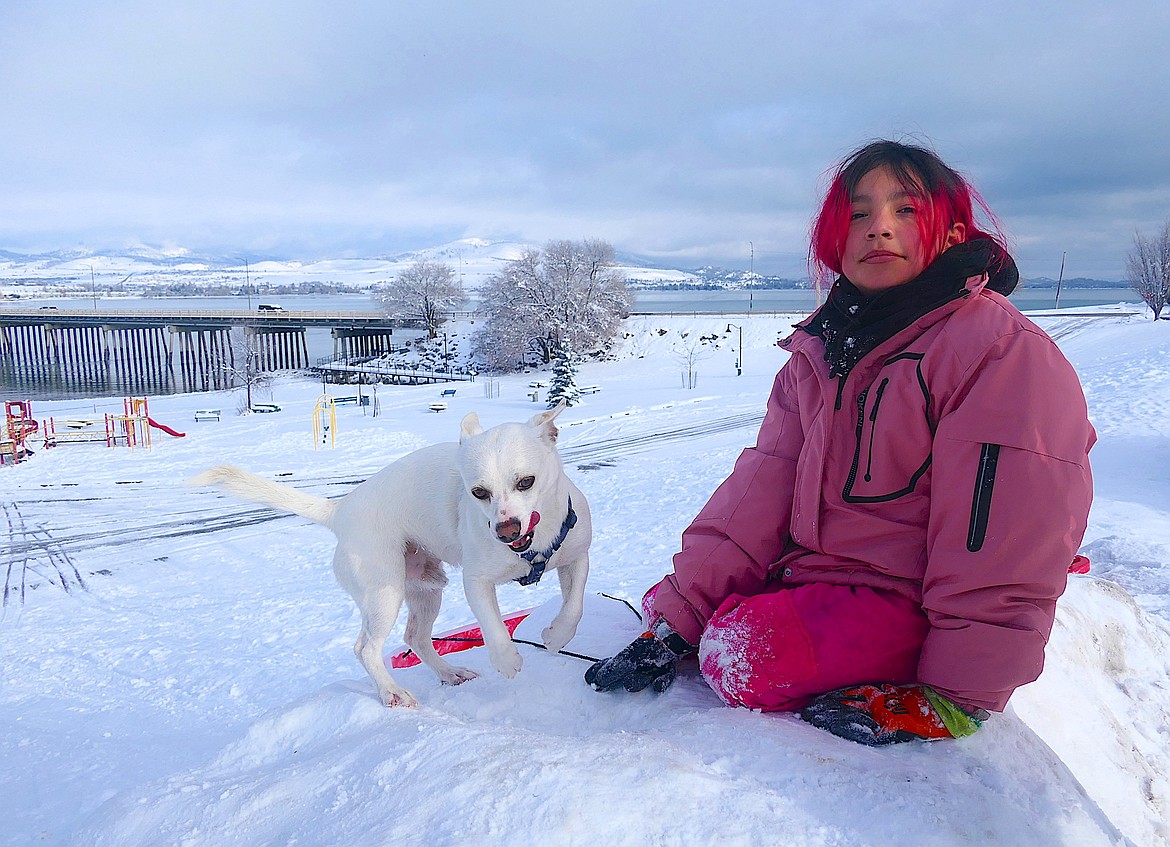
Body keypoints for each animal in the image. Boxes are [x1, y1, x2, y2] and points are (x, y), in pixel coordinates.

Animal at [187, 403, 591, 707]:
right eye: (478, 492)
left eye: (526, 482)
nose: (505, 530)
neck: (532, 547)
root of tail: (340, 511)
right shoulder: (476, 582)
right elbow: (492, 626)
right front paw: (505, 660)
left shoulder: (577, 557)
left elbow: (575, 606)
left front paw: (557, 636)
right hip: (384, 593)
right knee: (365, 648)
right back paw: (392, 692)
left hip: (425, 590)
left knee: (416, 638)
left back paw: (449, 673)